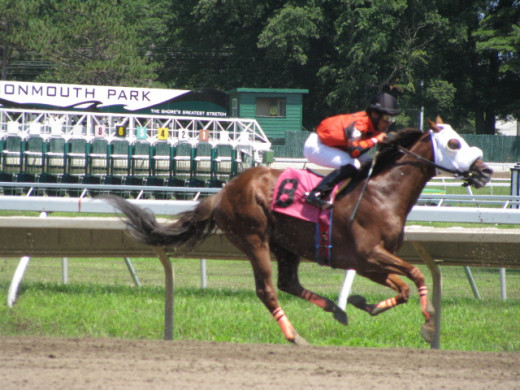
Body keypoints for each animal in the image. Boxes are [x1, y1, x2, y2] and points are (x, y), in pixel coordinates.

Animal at [105, 118, 492, 344]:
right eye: (454, 144)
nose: (485, 170)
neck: (382, 193)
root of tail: (222, 193)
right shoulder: (369, 254)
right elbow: (416, 274)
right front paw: (428, 324)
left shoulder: (367, 262)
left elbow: (403, 287)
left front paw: (362, 303)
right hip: (254, 239)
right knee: (268, 290)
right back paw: (294, 336)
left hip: (286, 245)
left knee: (289, 282)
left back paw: (334, 309)